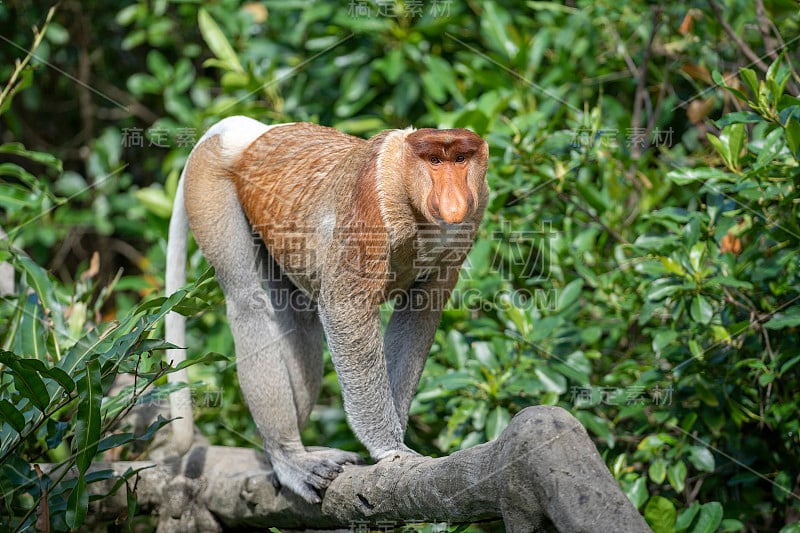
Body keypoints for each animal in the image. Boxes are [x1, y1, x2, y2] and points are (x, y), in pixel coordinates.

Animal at [165, 116, 488, 502]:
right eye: (435, 161)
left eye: (461, 159)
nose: (454, 202)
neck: (405, 183)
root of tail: (245, 132)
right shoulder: (369, 204)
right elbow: (344, 308)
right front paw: (391, 449)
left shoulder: (469, 222)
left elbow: (419, 315)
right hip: (209, 183)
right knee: (246, 301)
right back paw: (289, 457)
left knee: (299, 317)